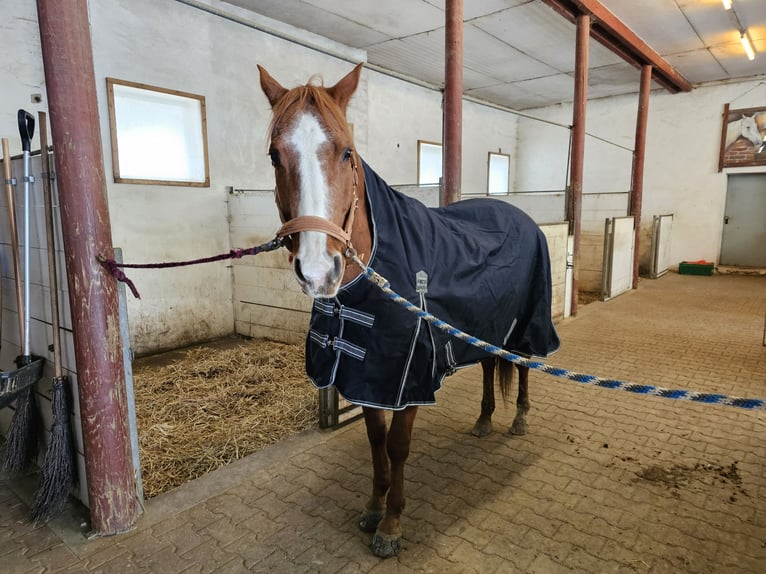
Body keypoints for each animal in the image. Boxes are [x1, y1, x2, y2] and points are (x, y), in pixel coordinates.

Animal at [258, 65, 560, 560]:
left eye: (346, 152)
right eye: (273, 156)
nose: (319, 270)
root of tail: (519, 215)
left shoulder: (407, 379)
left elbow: (398, 446)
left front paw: (392, 524)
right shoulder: (368, 376)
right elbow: (375, 441)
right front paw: (373, 506)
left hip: (524, 327)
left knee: (523, 364)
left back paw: (518, 419)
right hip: (485, 328)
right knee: (490, 367)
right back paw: (483, 421)